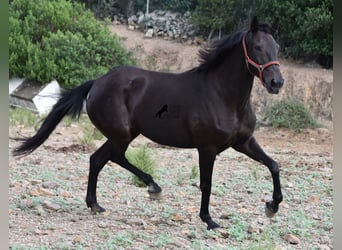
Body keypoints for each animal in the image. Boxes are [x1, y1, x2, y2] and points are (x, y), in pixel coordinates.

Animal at [13, 16, 284, 229]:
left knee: (99, 159)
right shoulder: (207, 148)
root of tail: (98, 81)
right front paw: (209, 220)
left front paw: (272, 206)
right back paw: (151, 187)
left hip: (125, 134)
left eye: (277, 47)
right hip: (121, 134)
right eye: (257, 46)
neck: (223, 96)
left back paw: (98, 203)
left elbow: (273, 165)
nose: (276, 83)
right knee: (110, 158)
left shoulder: (244, 142)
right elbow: (206, 183)